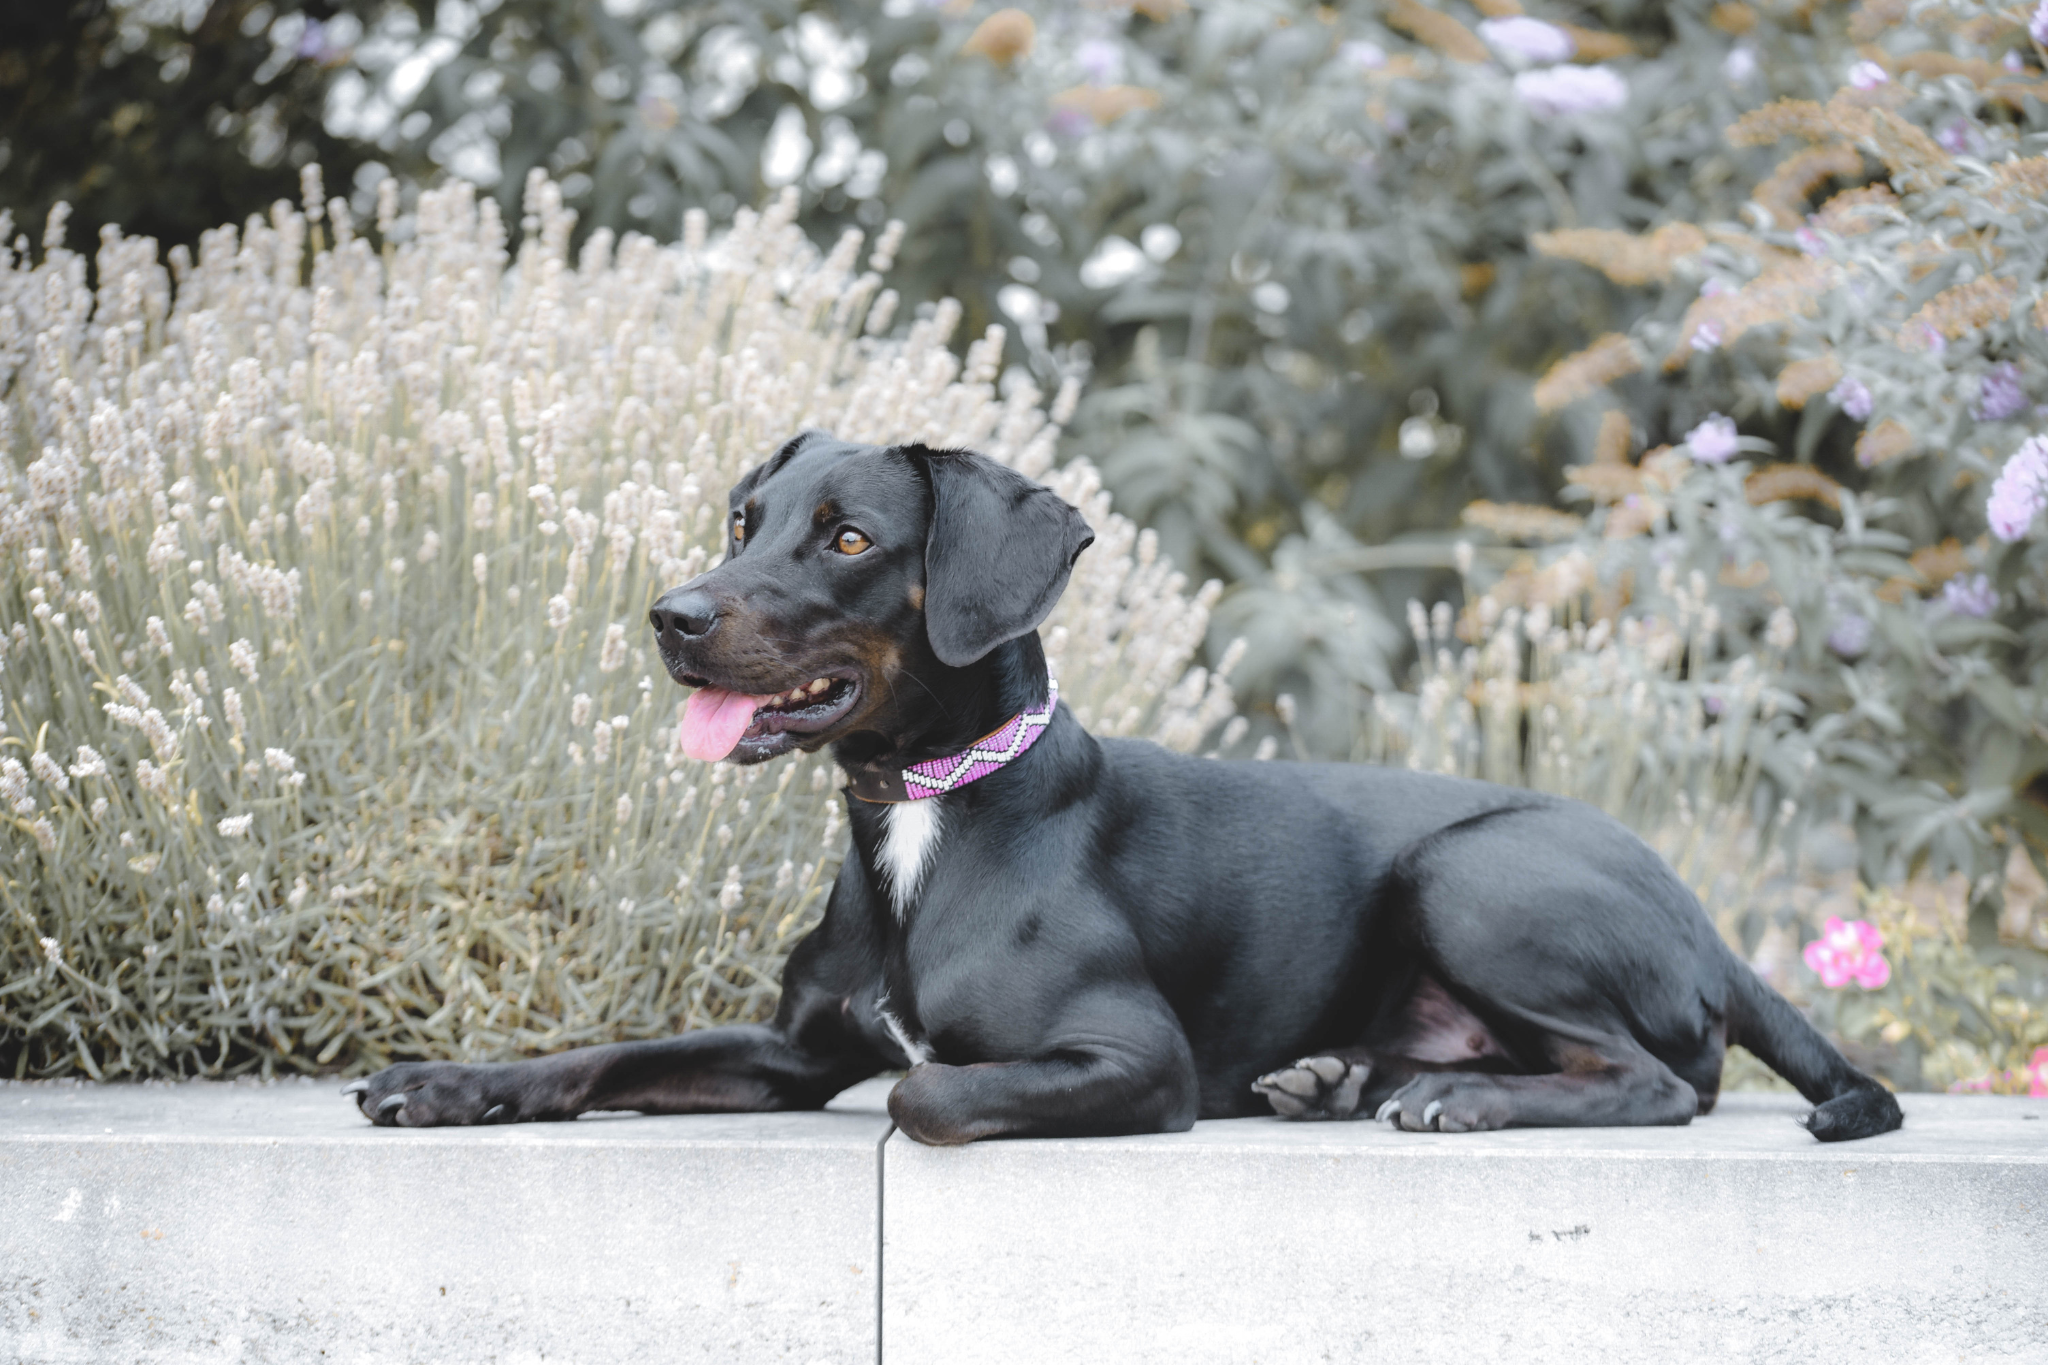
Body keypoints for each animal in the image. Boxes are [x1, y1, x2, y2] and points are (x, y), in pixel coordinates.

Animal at [348, 435, 1900, 1146]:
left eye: (846, 537)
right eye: (744, 521)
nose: (669, 615)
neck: (923, 812)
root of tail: (1703, 922)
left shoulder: (1128, 1057)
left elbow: (933, 1090)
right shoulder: (790, 1051)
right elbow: (608, 1054)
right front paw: (449, 1081)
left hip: (1473, 875)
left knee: (1661, 1079)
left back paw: (1458, 1103)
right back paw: (1344, 1077)